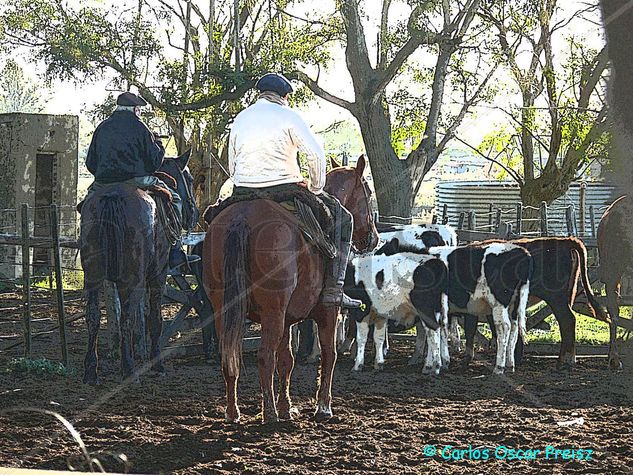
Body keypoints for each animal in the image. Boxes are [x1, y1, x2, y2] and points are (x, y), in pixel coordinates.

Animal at [81, 151, 195, 384]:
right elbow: (154, 319)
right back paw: (129, 370)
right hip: (132, 280)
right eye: (189, 179)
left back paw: (91, 370)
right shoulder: (158, 276)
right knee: (126, 320)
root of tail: (112, 197)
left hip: (93, 277)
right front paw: (157, 364)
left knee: (94, 316)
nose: (193, 212)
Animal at [205, 157, 378, 424]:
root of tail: (241, 218)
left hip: (226, 310)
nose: (373, 238)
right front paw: (323, 407)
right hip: (272, 312)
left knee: (230, 357)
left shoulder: (286, 320)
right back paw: (269, 413)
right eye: (368, 193)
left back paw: (234, 412)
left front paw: (287, 407)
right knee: (264, 356)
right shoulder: (327, 313)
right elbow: (329, 354)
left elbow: (287, 360)